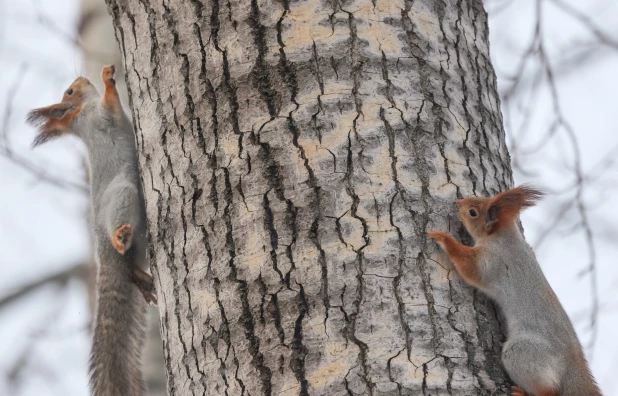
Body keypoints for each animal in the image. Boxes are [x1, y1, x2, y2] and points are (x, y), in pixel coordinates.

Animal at [27, 65, 156, 396]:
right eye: (70, 92)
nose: (80, 79)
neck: (83, 115)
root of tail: (104, 251)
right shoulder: (104, 115)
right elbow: (111, 99)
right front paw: (107, 76)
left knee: (132, 268)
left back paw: (144, 283)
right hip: (123, 194)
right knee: (122, 242)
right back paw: (119, 239)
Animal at [426, 186, 600, 396]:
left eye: (473, 212)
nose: (457, 203)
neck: (504, 237)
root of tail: (572, 366)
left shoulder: (492, 261)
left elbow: (469, 267)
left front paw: (443, 238)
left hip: (522, 352)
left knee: (547, 390)